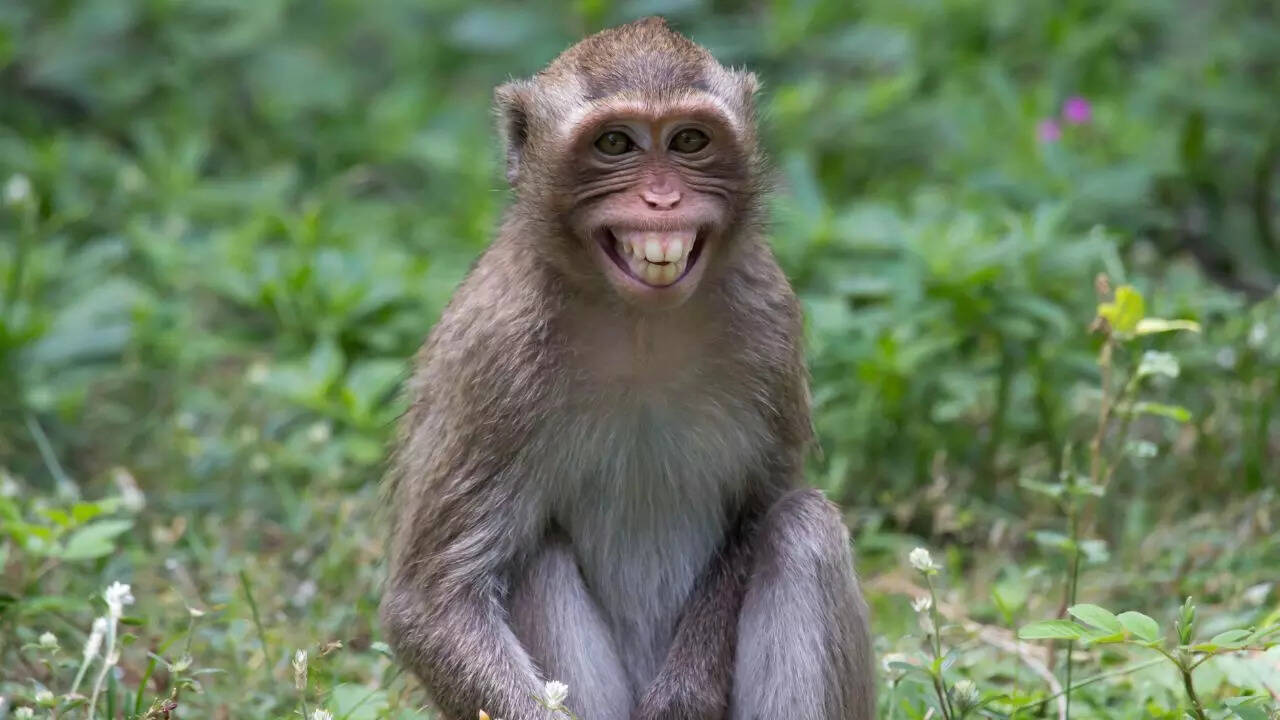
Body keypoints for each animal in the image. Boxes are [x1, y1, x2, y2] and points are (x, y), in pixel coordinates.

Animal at [380, 17, 874, 720]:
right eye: (615, 143)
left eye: (689, 140)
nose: (662, 200)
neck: (639, 326)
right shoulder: (491, 353)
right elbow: (433, 604)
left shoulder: (769, 317)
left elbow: (761, 508)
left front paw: (686, 694)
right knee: (535, 558)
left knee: (803, 527)